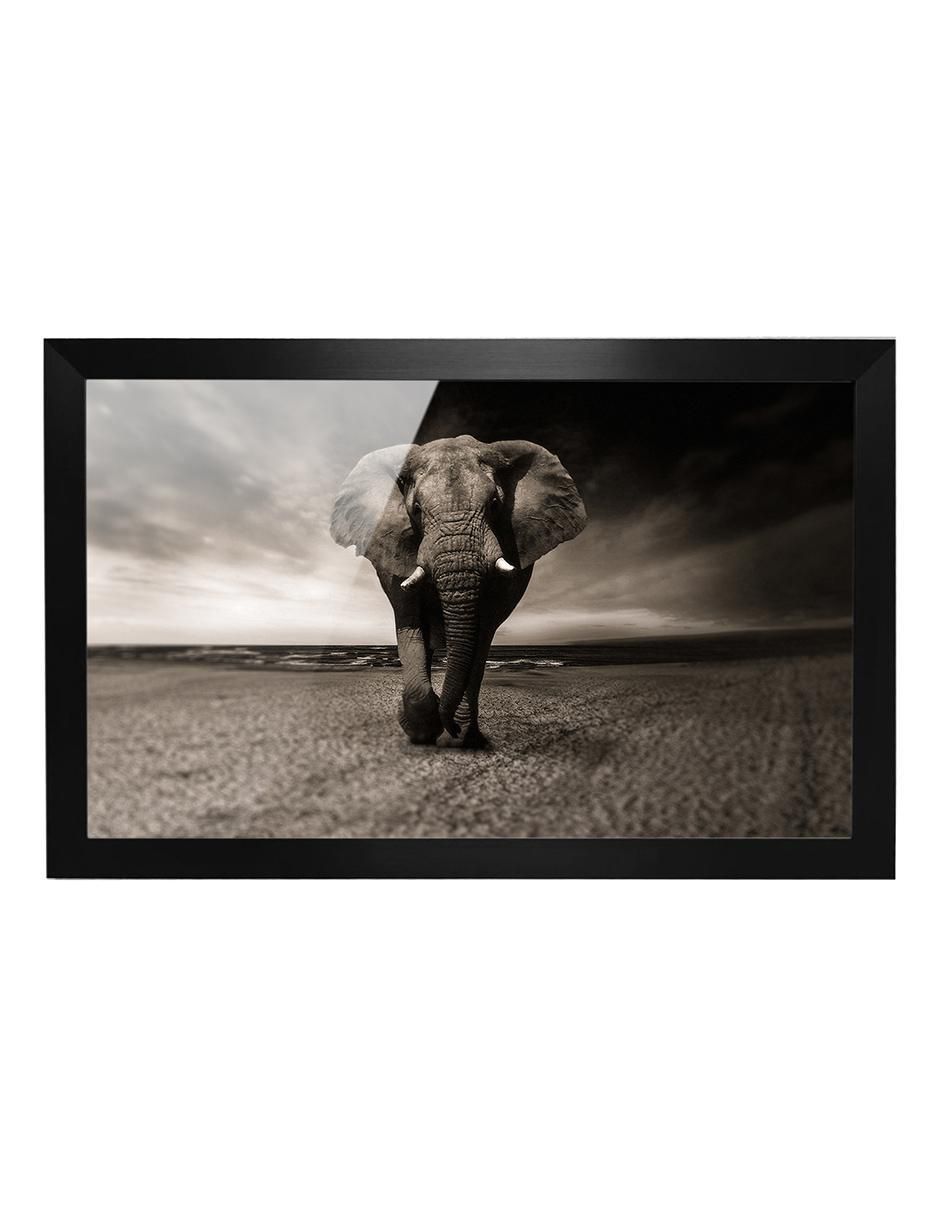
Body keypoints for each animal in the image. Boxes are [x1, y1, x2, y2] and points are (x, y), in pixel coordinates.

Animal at [330, 434, 587, 748]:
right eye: (416, 509)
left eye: (494, 504)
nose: (449, 726)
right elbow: (410, 622)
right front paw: (421, 731)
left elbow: (481, 632)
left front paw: (459, 736)